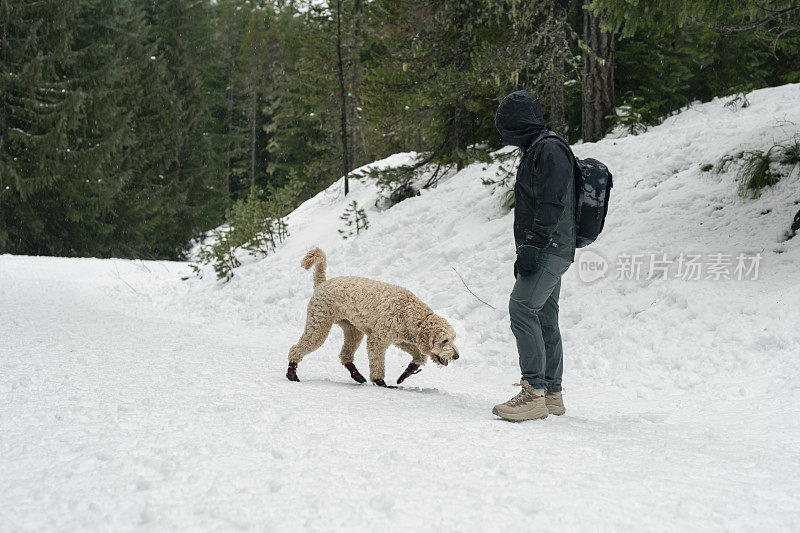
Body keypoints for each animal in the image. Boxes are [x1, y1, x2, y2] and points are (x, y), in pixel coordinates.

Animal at [290, 247, 460, 384]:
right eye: (444, 340)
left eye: (453, 338)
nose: (457, 356)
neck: (409, 312)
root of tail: (322, 283)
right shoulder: (377, 340)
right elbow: (378, 364)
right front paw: (380, 382)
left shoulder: (400, 340)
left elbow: (420, 356)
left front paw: (406, 373)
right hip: (318, 325)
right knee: (297, 348)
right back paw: (291, 373)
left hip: (353, 330)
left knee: (345, 355)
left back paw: (357, 376)